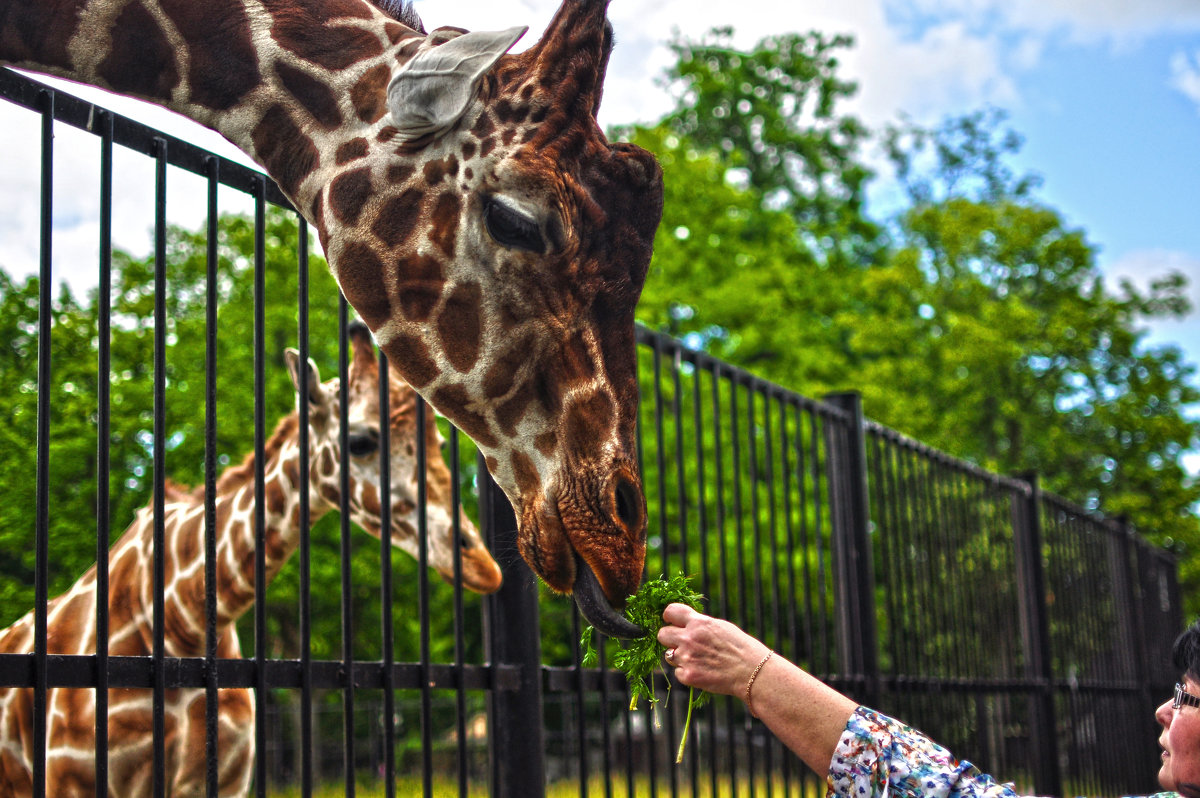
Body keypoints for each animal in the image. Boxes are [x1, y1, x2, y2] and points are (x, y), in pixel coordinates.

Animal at [0, 321, 501, 796]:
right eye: (360, 442)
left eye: (439, 442)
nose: (482, 565)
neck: (181, 623)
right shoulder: (71, 779)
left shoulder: (226, 777)